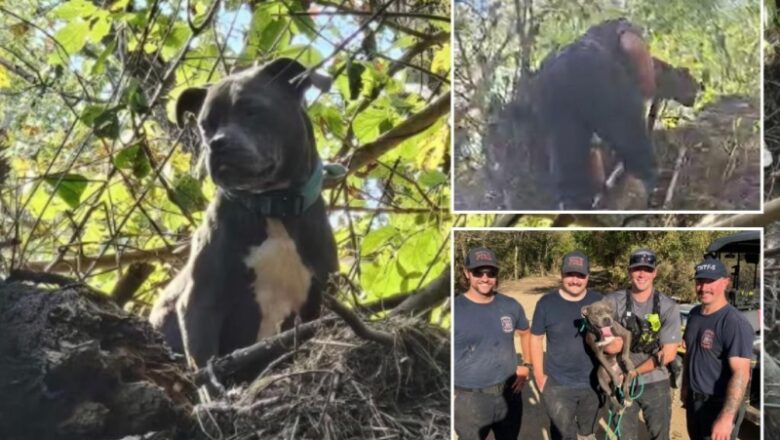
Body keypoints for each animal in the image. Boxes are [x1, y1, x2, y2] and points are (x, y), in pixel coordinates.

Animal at [149, 57, 338, 372]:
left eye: (251, 110)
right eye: (205, 125)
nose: (216, 143)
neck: (273, 206)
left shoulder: (319, 300)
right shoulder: (200, 301)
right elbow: (204, 363)